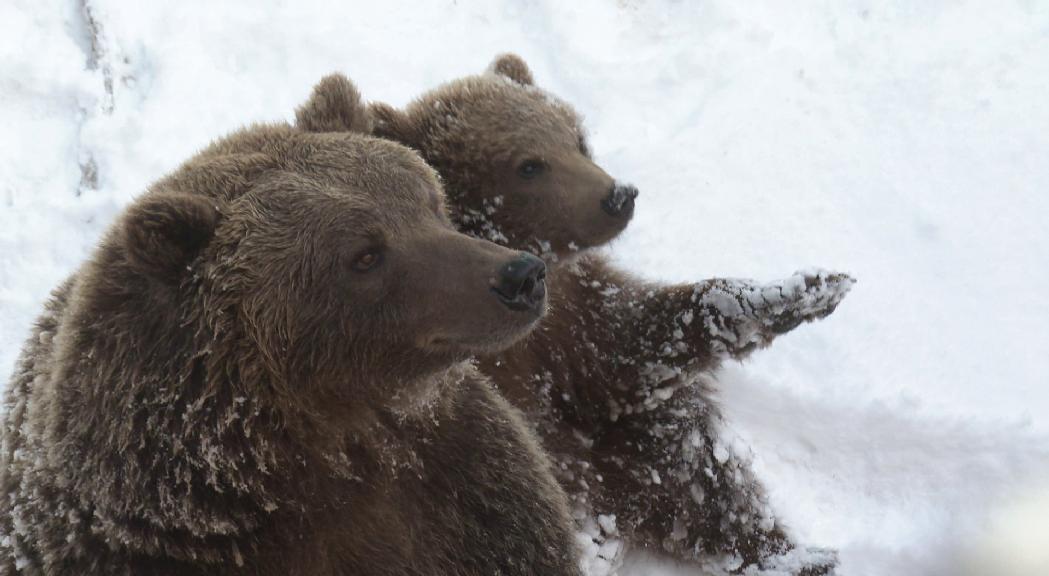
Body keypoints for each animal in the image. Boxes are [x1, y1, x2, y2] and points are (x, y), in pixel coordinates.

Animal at [295, 57, 851, 570]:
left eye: (576, 137)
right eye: (529, 164)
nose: (617, 195)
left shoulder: (575, 321)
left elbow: (635, 350)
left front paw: (794, 292)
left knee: (701, 471)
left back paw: (795, 554)